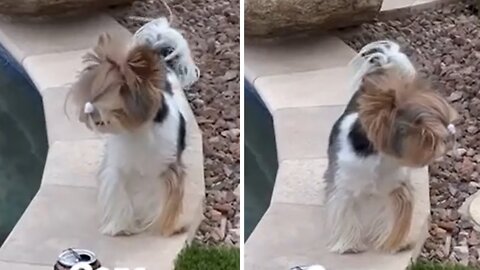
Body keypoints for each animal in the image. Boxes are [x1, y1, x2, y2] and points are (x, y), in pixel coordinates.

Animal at [68, 17, 200, 236]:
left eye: (113, 100)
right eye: (91, 93)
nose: (88, 111)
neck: (135, 131)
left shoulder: (168, 169)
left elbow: (165, 200)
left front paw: (166, 227)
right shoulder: (118, 169)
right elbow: (119, 195)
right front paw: (120, 226)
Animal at [324, 39, 460, 253]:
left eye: (446, 122)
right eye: (426, 135)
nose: (452, 134)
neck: (382, 158)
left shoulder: (396, 190)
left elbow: (392, 218)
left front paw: (393, 241)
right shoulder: (345, 189)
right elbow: (347, 215)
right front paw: (350, 245)